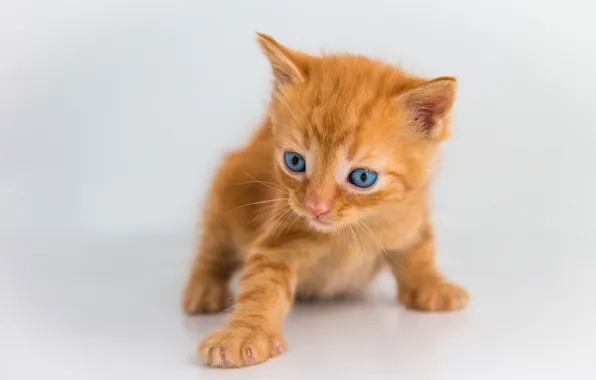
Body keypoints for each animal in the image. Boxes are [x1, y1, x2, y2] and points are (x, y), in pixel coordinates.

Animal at [182, 33, 470, 368]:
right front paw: (243, 334)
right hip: (226, 189)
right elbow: (261, 284)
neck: (352, 232)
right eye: (294, 161)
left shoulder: (410, 214)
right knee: (213, 246)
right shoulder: (280, 237)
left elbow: (420, 249)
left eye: (362, 177)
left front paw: (432, 286)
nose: (315, 207)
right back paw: (204, 289)